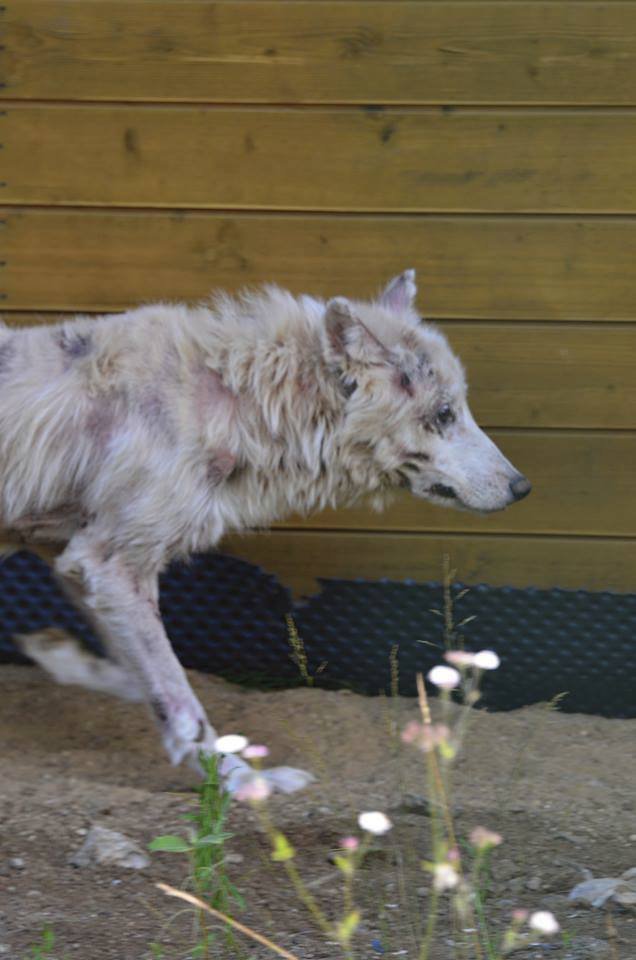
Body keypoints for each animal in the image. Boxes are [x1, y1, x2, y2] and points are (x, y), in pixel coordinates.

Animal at [0, 272, 528, 796]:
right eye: (444, 414)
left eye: (459, 408)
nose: (522, 487)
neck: (234, 402)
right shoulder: (109, 566)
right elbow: (182, 704)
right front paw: (242, 782)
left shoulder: (73, 559)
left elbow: (143, 680)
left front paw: (58, 657)